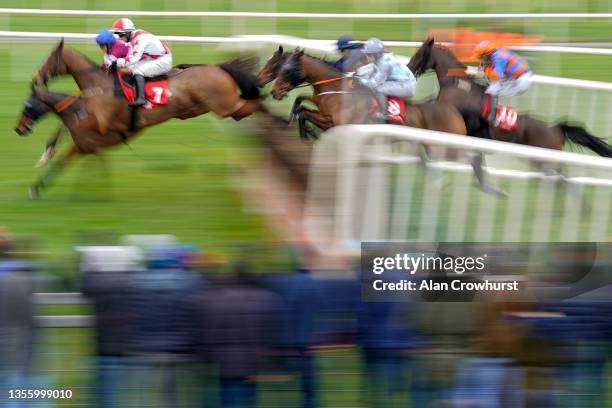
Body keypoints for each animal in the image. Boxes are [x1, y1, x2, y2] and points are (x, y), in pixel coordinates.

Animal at [32, 39, 262, 138]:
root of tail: (217, 67)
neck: (100, 84)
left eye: (50, 59)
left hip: (225, 105)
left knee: (251, 106)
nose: (36, 78)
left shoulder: (102, 124)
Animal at [268, 48, 468, 139]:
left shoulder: (336, 122)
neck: (336, 89)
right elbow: (301, 108)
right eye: (281, 68)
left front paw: (307, 135)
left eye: (288, 70)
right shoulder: (323, 109)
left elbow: (304, 113)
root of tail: (456, 114)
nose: (274, 91)